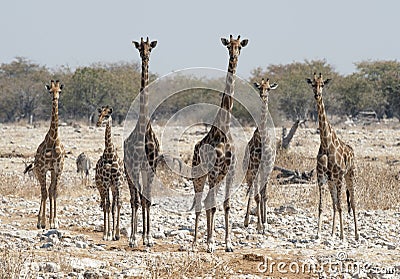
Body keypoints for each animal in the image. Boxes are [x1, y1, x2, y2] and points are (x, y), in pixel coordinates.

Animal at [192, 35, 248, 254]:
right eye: (228, 46)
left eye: (240, 46)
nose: (234, 57)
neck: (223, 130)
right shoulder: (214, 171)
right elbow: (213, 205)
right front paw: (210, 243)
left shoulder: (229, 170)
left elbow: (226, 205)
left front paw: (228, 243)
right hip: (199, 176)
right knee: (201, 203)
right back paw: (195, 242)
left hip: (216, 177)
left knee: (208, 201)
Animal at [306, 73, 360, 242]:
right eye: (312, 84)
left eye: (322, 84)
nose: (317, 95)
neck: (326, 143)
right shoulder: (322, 176)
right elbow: (322, 205)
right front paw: (318, 234)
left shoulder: (339, 175)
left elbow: (343, 206)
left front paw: (342, 235)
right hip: (332, 181)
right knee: (335, 203)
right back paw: (331, 233)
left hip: (350, 175)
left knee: (353, 203)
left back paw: (356, 235)